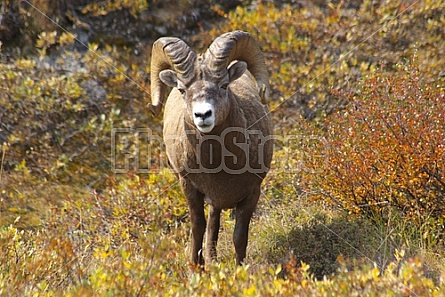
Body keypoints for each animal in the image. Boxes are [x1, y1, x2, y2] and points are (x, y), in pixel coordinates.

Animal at [149, 30, 272, 266]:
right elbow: (198, 228)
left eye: (224, 86)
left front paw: (240, 268)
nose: (203, 115)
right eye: (182, 90)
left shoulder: (252, 193)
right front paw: (197, 267)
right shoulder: (189, 188)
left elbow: (239, 236)